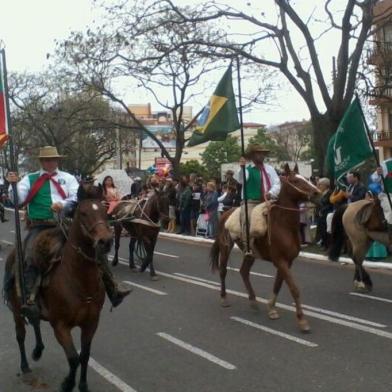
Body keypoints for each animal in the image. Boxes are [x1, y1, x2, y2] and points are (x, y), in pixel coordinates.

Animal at [4, 186, 112, 392]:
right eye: (83, 213)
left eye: (105, 211)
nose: (105, 241)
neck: (79, 280)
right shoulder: (61, 326)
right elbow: (73, 358)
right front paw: (67, 383)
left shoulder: (91, 323)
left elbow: (84, 356)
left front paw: (83, 385)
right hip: (16, 309)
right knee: (20, 335)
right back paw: (25, 365)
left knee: (35, 321)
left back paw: (38, 350)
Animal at [210, 164, 320, 332]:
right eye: (295, 181)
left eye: (306, 178)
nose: (317, 192)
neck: (284, 225)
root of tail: (225, 213)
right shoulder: (280, 260)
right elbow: (293, 288)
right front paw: (302, 320)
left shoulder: (287, 262)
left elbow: (278, 284)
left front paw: (272, 309)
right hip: (225, 247)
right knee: (223, 270)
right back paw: (224, 298)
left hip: (250, 253)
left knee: (244, 271)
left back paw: (253, 301)